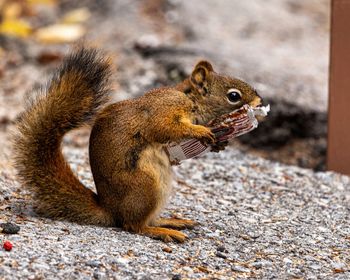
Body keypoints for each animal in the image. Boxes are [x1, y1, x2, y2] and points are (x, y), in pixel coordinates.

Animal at [13, 47, 262, 242]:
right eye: (233, 96)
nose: (260, 102)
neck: (191, 100)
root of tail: (110, 209)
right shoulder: (164, 108)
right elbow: (164, 128)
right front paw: (201, 131)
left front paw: (220, 143)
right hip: (145, 187)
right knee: (133, 225)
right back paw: (162, 232)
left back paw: (170, 221)